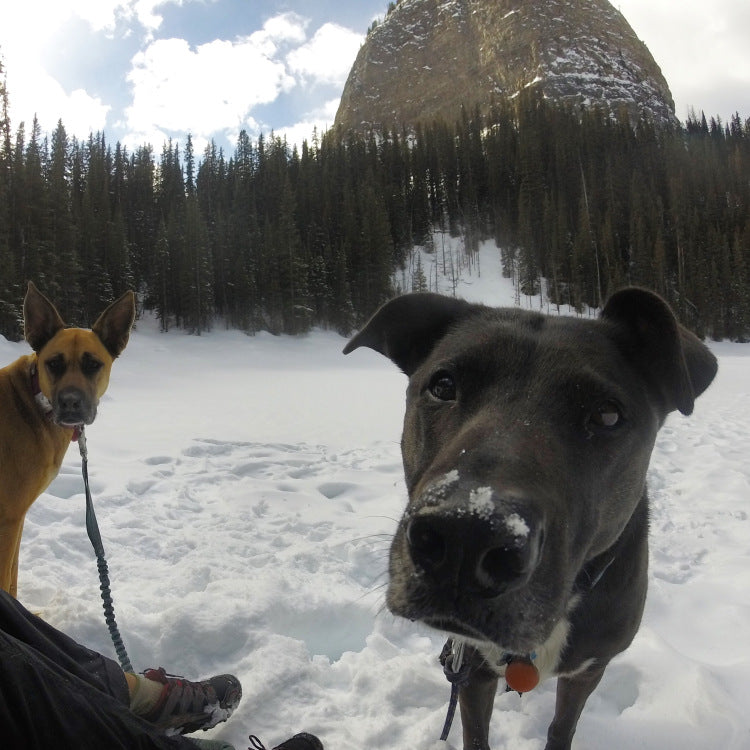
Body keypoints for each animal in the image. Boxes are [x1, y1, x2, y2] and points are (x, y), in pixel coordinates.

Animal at [0, 282, 135, 600]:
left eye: (93, 364)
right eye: (54, 364)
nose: (71, 403)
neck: (35, 400)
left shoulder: (16, 517)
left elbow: (12, 580)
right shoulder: (9, 517)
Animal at [346, 290, 716, 750]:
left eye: (607, 415)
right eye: (443, 385)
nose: (465, 538)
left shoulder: (589, 669)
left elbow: (562, 726)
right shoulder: (472, 666)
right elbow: (476, 734)